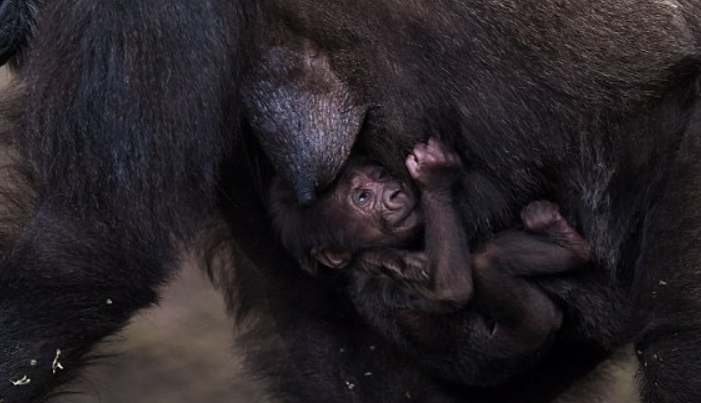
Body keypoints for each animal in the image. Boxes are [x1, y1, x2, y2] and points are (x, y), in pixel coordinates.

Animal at [268, 140, 592, 388]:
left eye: (380, 174)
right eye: (363, 197)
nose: (394, 192)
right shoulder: (377, 260)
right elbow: (448, 288)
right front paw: (434, 178)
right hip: (530, 327)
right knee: (486, 259)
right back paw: (569, 246)